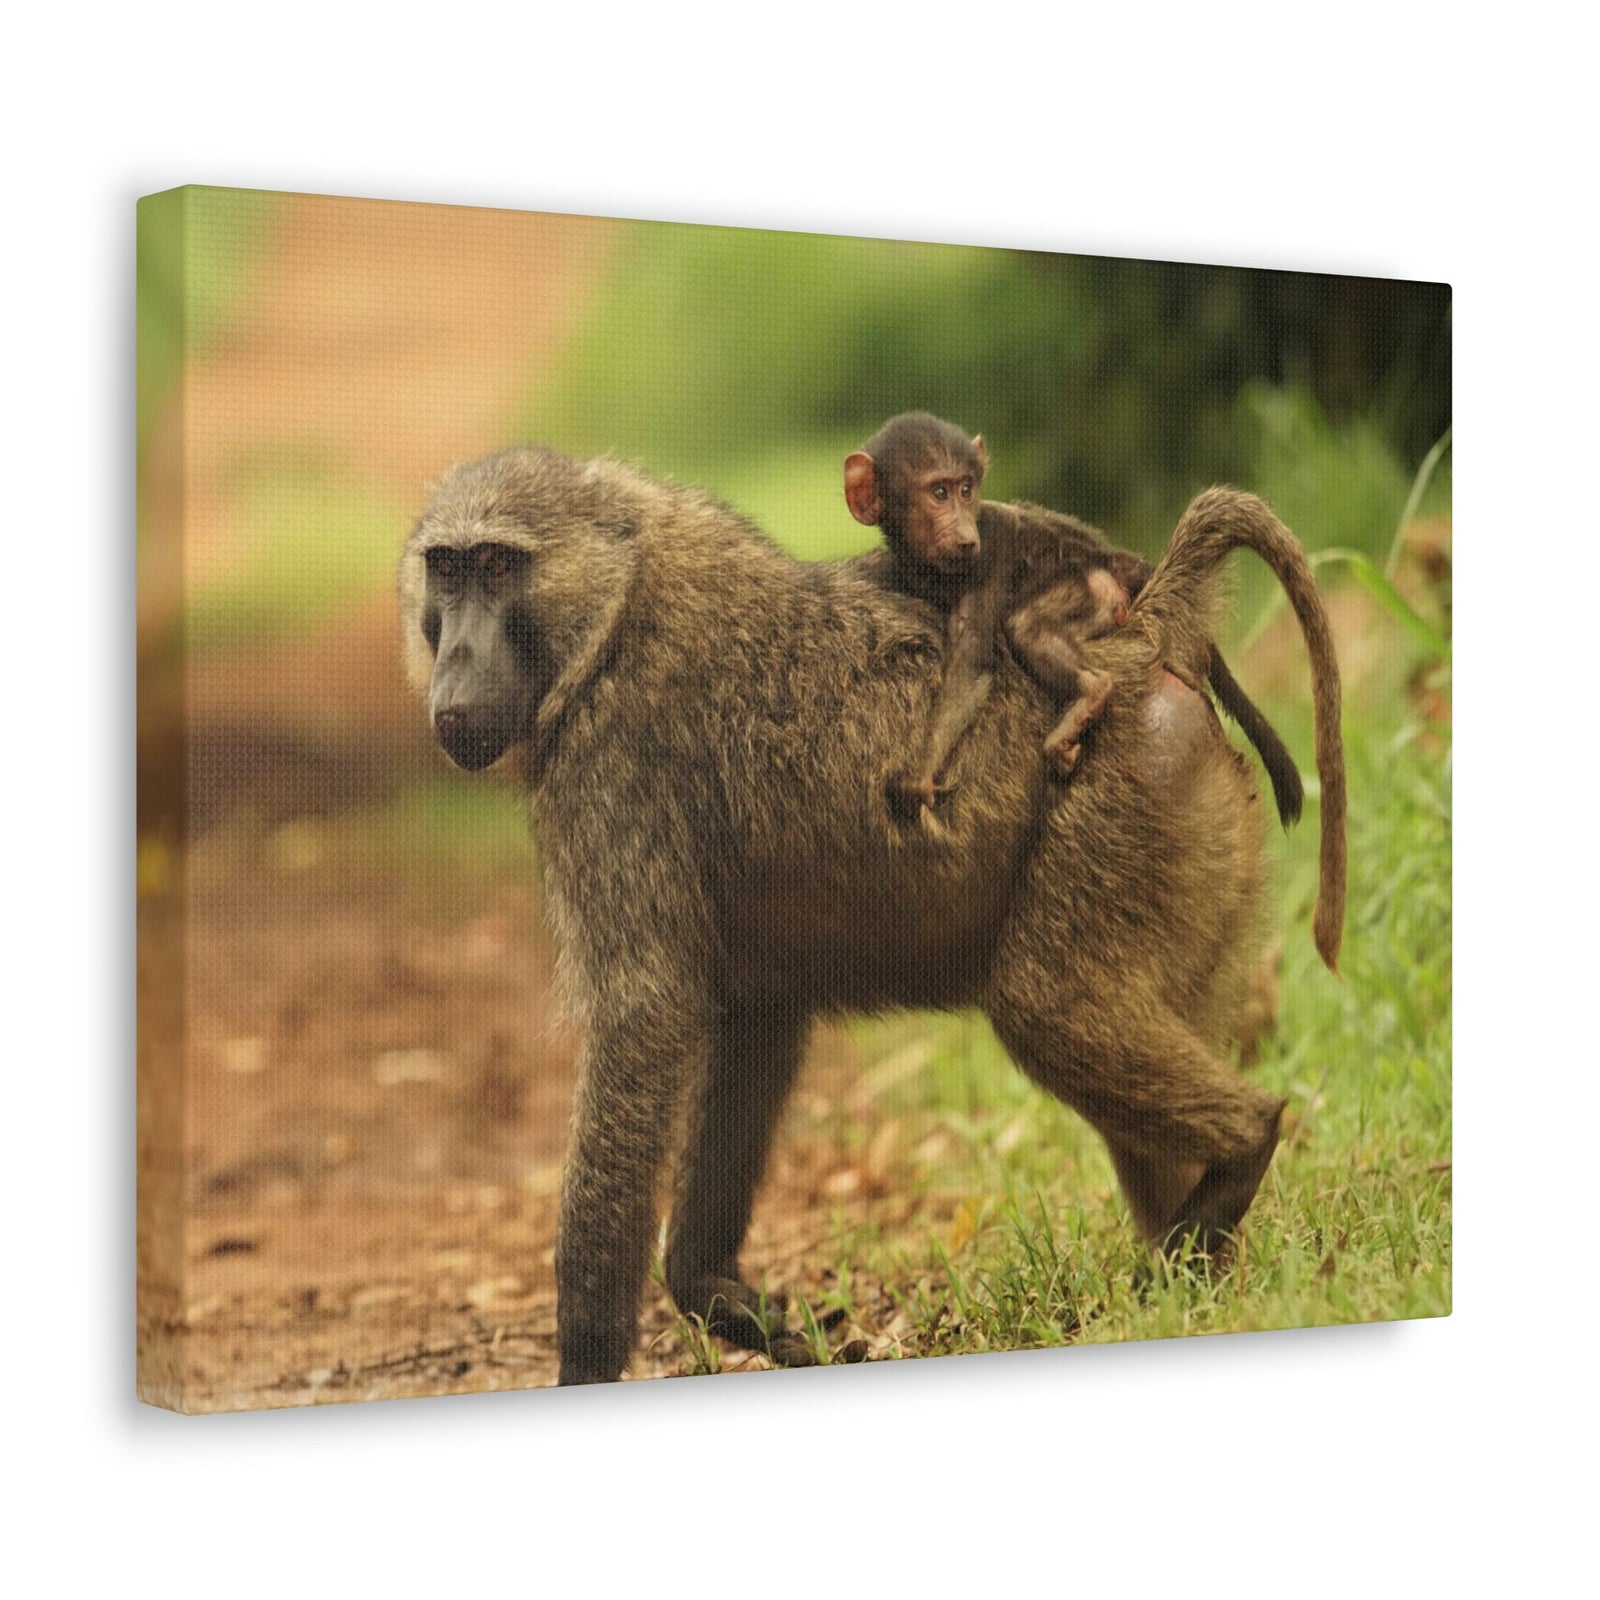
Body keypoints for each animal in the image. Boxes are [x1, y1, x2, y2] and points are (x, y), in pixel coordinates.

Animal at [844, 412, 1305, 827]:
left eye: (966, 490)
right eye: (939, 492)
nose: (964, 534)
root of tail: (1116, 559)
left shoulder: (992, 545)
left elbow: (972, 659)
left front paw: (919, 776)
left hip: (1096, 591)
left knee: (1027, 626)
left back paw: (1091, 692)